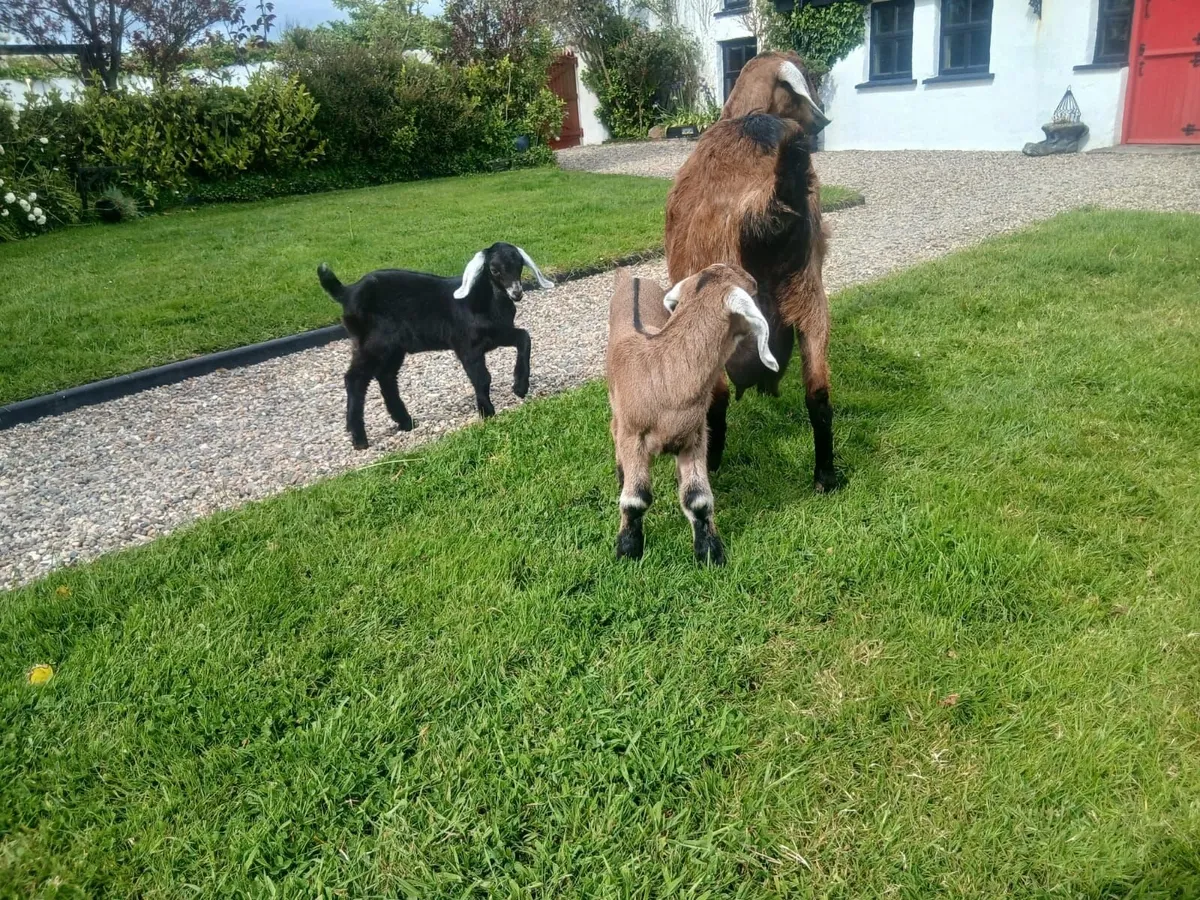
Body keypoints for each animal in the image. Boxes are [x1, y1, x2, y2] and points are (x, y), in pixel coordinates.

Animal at [317, 242, 553, 450]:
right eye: (494, 270)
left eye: (519, 264)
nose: (517, 293)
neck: (484, 301)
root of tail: (347, 292)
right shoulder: (467, 346)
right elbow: (482, 378)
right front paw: (487, 413)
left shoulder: (498, 335)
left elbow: (524, 338)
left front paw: (520, 387)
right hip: (372, 343)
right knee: (355, 379)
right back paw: (359, 438)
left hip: (394, 348)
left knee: (386, 377)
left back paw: (405, 422)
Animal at [606, 263, 777, 566]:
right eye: (753, 289)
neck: (662, 372)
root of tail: (632, 278)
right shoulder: (633, 434)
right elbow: (636, 499)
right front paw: (628, 549)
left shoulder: (694, 437)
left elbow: (698, 499)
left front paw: (710, 552)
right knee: (613, 429)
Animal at [665, 50, 837, 493]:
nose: (822, 122)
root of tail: (765, 208)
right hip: (811, 299)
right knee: (819, 394)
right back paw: (826, 476)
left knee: (716, 400)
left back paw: (710, 464)